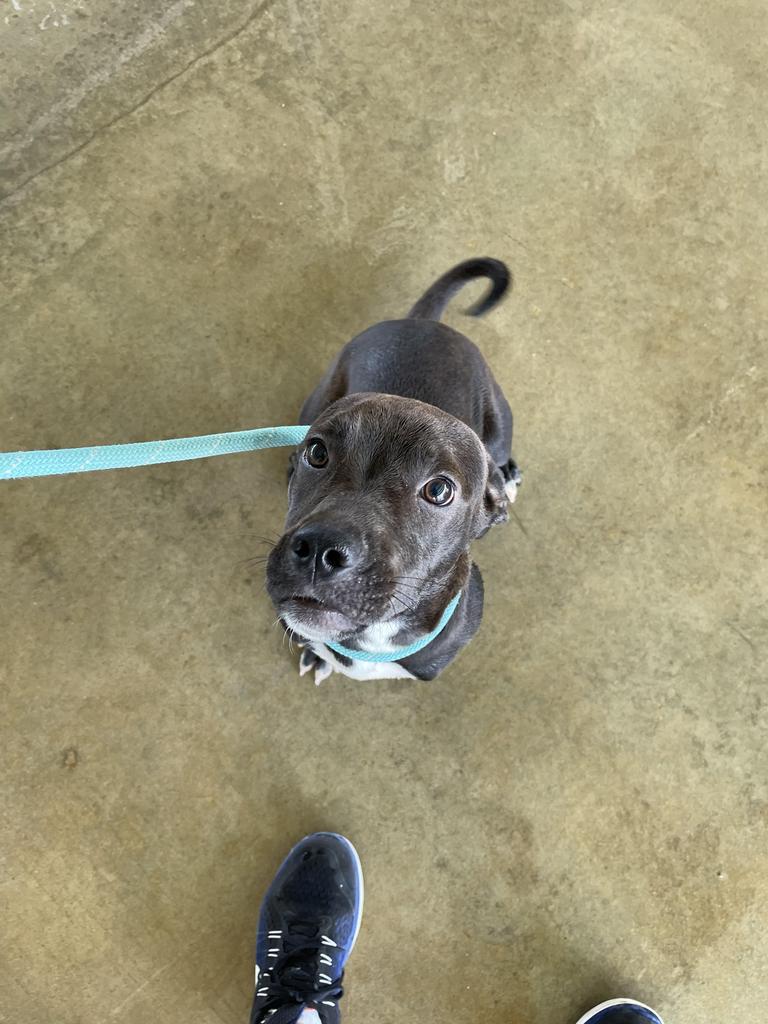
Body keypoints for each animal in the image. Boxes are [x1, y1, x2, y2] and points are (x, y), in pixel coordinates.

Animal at [266, 260, 524, 684]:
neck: (371, 641)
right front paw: (318, 658)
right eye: (317, 452)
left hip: (499, 422)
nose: (319, 551)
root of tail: (423, 323)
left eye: (439, 491)